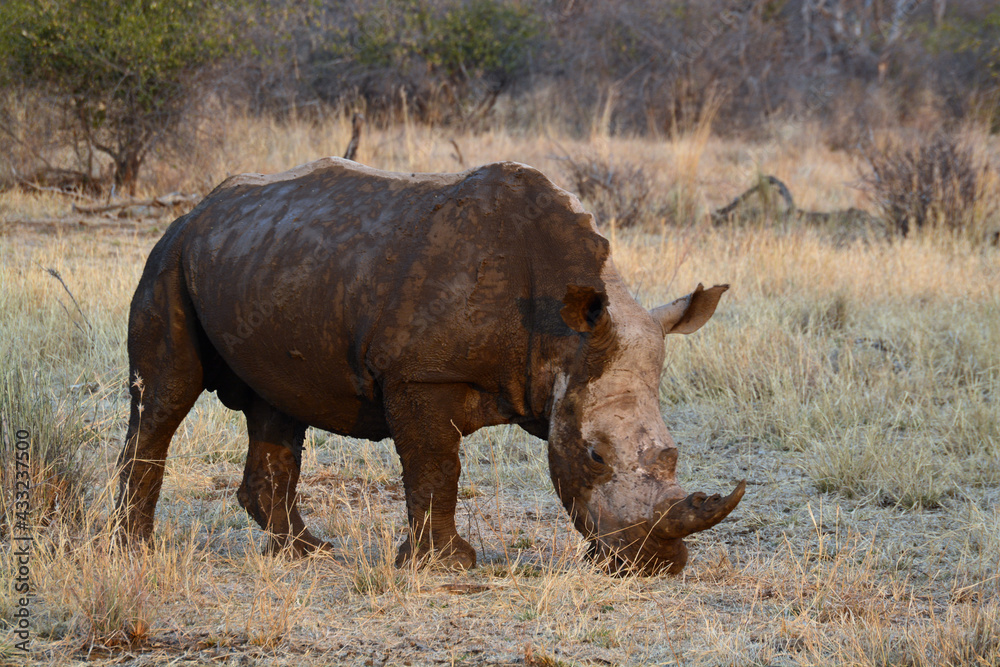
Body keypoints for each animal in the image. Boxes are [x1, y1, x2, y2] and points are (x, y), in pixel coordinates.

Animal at [116, 157, 744, 575]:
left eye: (674, 454)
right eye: (594, 456)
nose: (657, 562)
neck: (563, 334)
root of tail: (199, 207)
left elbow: (434, 465)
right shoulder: (419, 374)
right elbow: (436, 465)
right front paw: (446, 568)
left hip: (264, 265)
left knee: (277, 404)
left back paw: (307, 552)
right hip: (168, 256)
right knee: (166, 395)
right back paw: (134, 550)